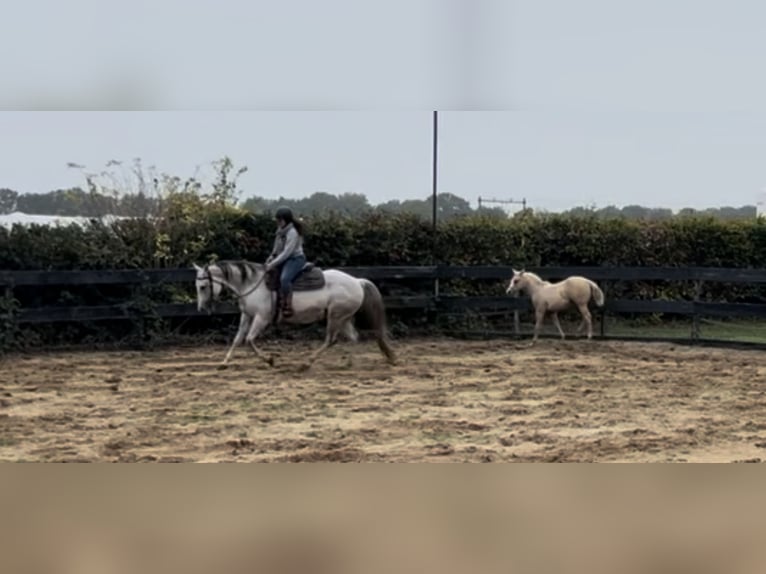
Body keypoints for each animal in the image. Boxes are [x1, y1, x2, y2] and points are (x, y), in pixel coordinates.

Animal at [193, 259, 397, 370]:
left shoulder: (261, 318)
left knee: (331, 340)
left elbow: (249, 340)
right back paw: (348, 364)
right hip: (343, 318)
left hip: (335, 317)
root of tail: (357, 281)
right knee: (353, 337)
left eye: (202, 287)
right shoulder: (247, 316)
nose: (201, 309)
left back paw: (306, 364)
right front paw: (224, 363)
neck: (252, 284)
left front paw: (270, 360)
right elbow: (237, 340)